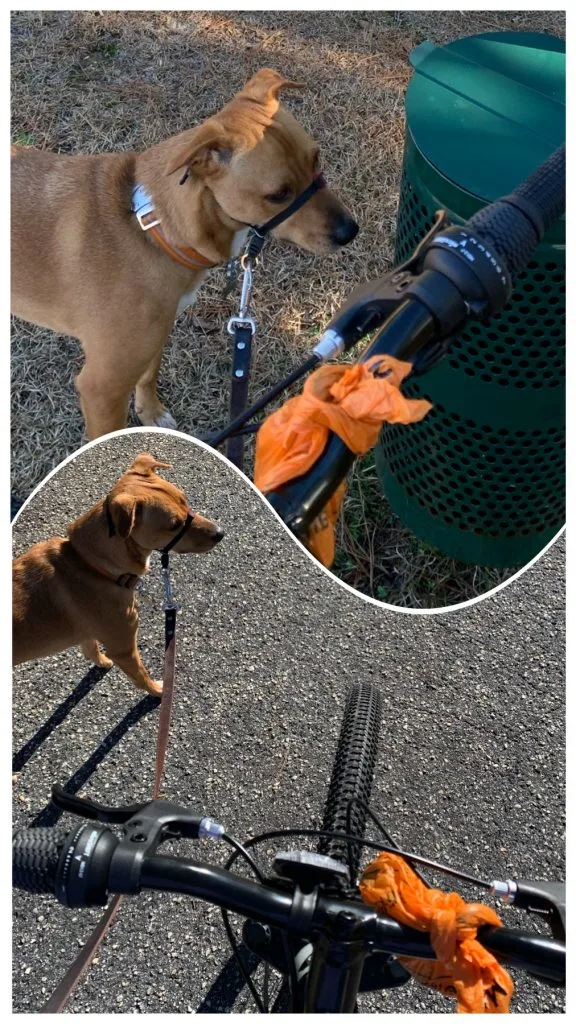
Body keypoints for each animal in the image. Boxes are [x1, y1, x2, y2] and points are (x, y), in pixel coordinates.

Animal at [11, 70, 356, 438]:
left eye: (316, 158)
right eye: (278, 194)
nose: (350, 231)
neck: (150, 229)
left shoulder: (156, 333)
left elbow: (149, 374)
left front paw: (151, 414)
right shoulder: (102, 387)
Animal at [11, 454, 222, 696]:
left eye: (185, 500)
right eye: (174, 525)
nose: (220, 533)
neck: (89, 565)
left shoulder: (90, 635)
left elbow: (91, 649)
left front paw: (102, 662)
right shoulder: (124, 649)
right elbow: (141, 676)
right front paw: (159, 692)